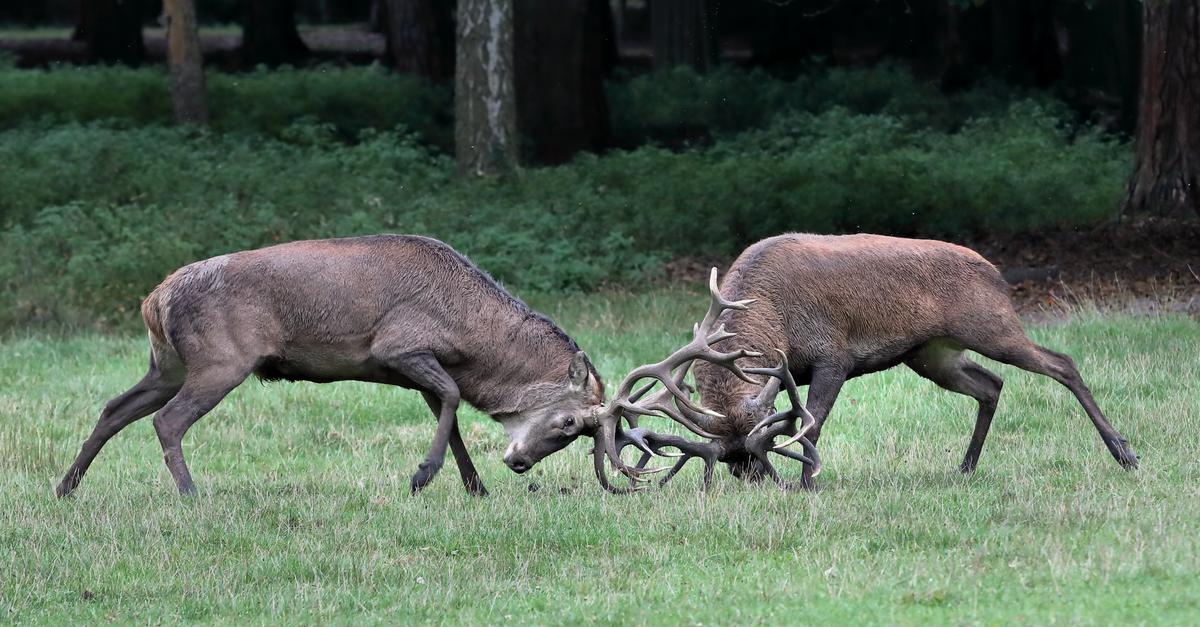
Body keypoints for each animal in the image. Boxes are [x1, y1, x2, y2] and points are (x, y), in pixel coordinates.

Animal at [55, 234, 756, 498]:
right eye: (568, 426)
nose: (520, 462)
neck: (472, 338)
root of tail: (154, 299)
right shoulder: (399, 347)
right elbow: (451, 400)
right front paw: (423, 474)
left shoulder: (415, 367)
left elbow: (449, 410)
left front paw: (472, 486)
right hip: (217, 361)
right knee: (166, 422)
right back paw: (191, 494)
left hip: (166, 361)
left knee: (113, 407)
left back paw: (66, 487)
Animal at [617, 233, 1139, 489]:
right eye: (729, 456)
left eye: (752, 452)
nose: (751, 478)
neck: (769, 316)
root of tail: (996, 273)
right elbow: (801, 420)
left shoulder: (833, 354)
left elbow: (812, 422)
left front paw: (808, 483)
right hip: (931, 354)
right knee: (991, 384)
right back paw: (965, 468)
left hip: (991, 326)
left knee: (1061, 363)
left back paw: (1125, 453)